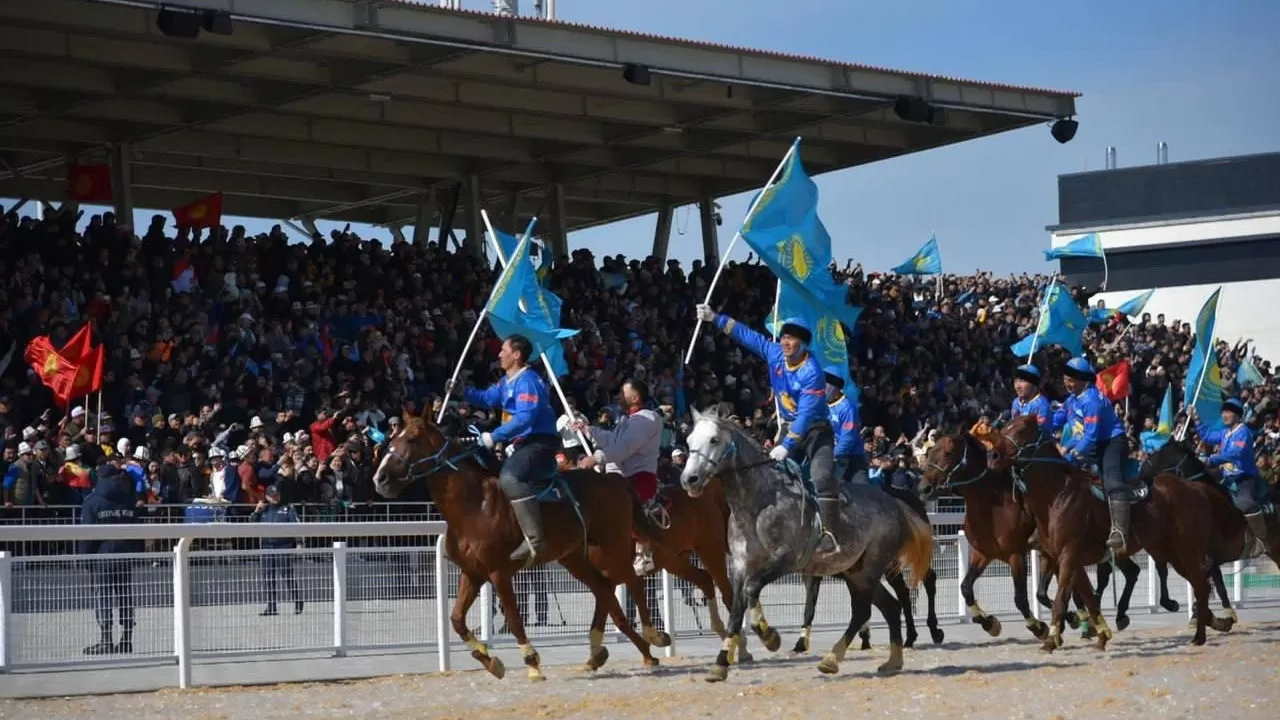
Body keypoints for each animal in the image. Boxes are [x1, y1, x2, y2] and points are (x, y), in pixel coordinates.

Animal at [373, 415, 660, 676]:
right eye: (391, 439)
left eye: (411, 439)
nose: (381, 478)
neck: (475, 505)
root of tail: (616, 480)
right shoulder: (472, 572)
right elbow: (456, 619)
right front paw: (488, 659)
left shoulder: (499, 573)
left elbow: (513, 617)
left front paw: (532, 662)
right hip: (576, 556)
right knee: (604, 588)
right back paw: (622, 653)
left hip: (614, 544)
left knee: (632, 582)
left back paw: (653, 635)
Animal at [680, 404, 931, 676]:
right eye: (689, 440)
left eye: (714, 439)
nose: (689, 479)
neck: (760, 502)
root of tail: (895, 503)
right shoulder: (740, 565)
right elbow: (736, 611)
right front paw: (720, 663)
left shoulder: (785, 559)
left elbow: (752, 588)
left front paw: (769, 636)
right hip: (856, 572)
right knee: (890, 607)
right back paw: (893, 661)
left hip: (872, 567)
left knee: (864, 610)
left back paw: (832, 658)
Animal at [983, 412, 1233, 648]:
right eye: (1003, 429)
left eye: (1021, 430)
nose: (992, 457)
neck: (1058, 496)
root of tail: (1196, 489)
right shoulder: (1063, 558)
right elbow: (1084, 597)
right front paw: (1097, 632)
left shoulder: (1068, 556)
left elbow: (1062, 598)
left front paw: (1053, 638)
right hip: (1170, 552)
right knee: (1196, 582)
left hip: (1186, 550)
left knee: (1200, 584)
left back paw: (1202, 632)